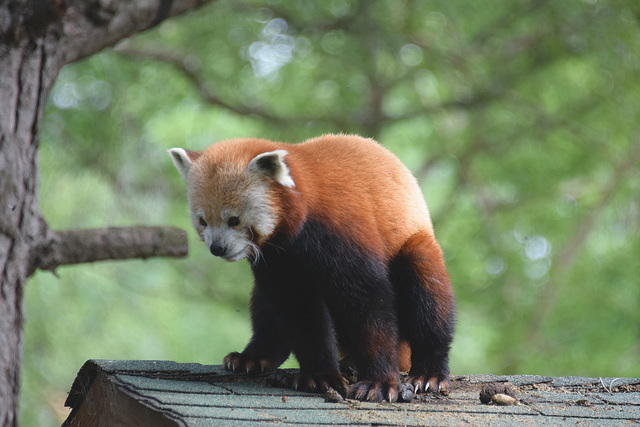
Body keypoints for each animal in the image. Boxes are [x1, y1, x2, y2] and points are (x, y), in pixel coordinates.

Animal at [169, 135, 456, 404]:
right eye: (203, 221)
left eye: (234, 220)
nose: (217, 248)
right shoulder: (278, 259)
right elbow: (298, 311)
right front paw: (321, 377)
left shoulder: (343, 230)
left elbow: (369, 304)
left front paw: (380, 382)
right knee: (264, 308)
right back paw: (253, 357)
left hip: (414, 249)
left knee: (426, 291)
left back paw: (428, 372)